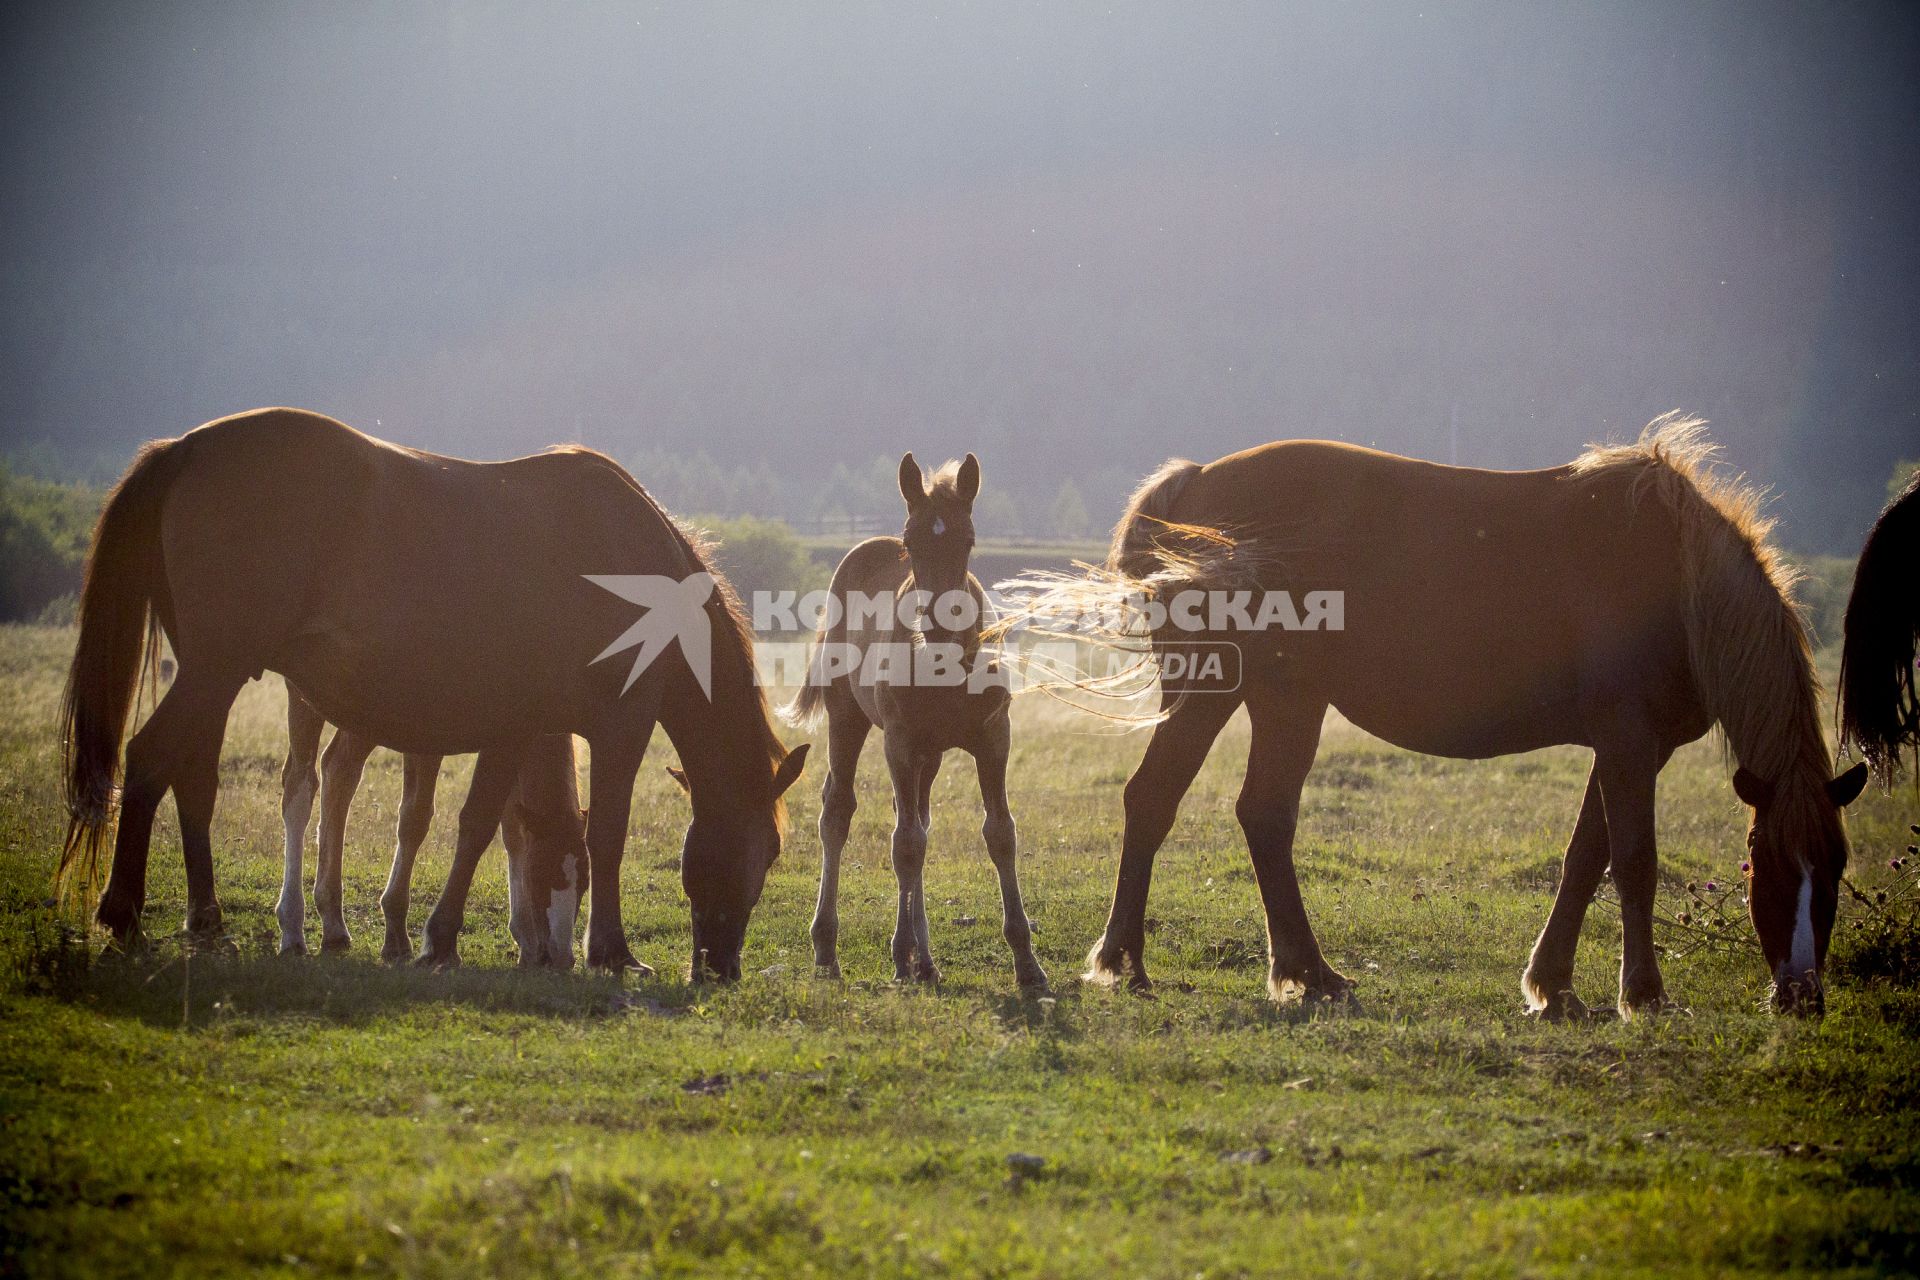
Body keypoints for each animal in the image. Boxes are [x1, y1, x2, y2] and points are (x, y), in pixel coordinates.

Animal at [272, 690, 583, 971]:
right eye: (541, 873)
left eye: (585, 883)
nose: (563, 959)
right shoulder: (427, 734)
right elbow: (416, 818)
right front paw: (397, 933)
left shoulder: (506, 745)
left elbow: (512, 832)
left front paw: (526, 939)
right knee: (300, 783)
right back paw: (292, 930)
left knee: (339, 768)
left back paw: (333, 923)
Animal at [783, 454, 1052, 990]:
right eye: (912, 542)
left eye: (968, 539)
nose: (940, 630)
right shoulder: (901, 743)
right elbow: (905, 845)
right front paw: (900, 953)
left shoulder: (994, 739)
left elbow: (1000, 833)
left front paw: (1027, 962)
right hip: (850, 720)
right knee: (840, 811)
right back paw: (829, 948)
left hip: (931, 754)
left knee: (917, 817)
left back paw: (926, 960)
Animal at [1059, 420, 1866, 1020]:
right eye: (1764, 865)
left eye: (1834, 868)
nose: (1801, 996)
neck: (1678, 580)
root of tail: (1192, 483)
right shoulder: (1630, 744)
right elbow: (1636, 861)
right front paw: (1643, 993)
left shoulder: (1631, 749)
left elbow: (1586, 858)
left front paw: (1552, 985)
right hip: (1217, 695)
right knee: (1162, 800)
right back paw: (1128, 962)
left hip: (1284, 701)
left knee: (1254, 814)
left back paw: (1304, 972)